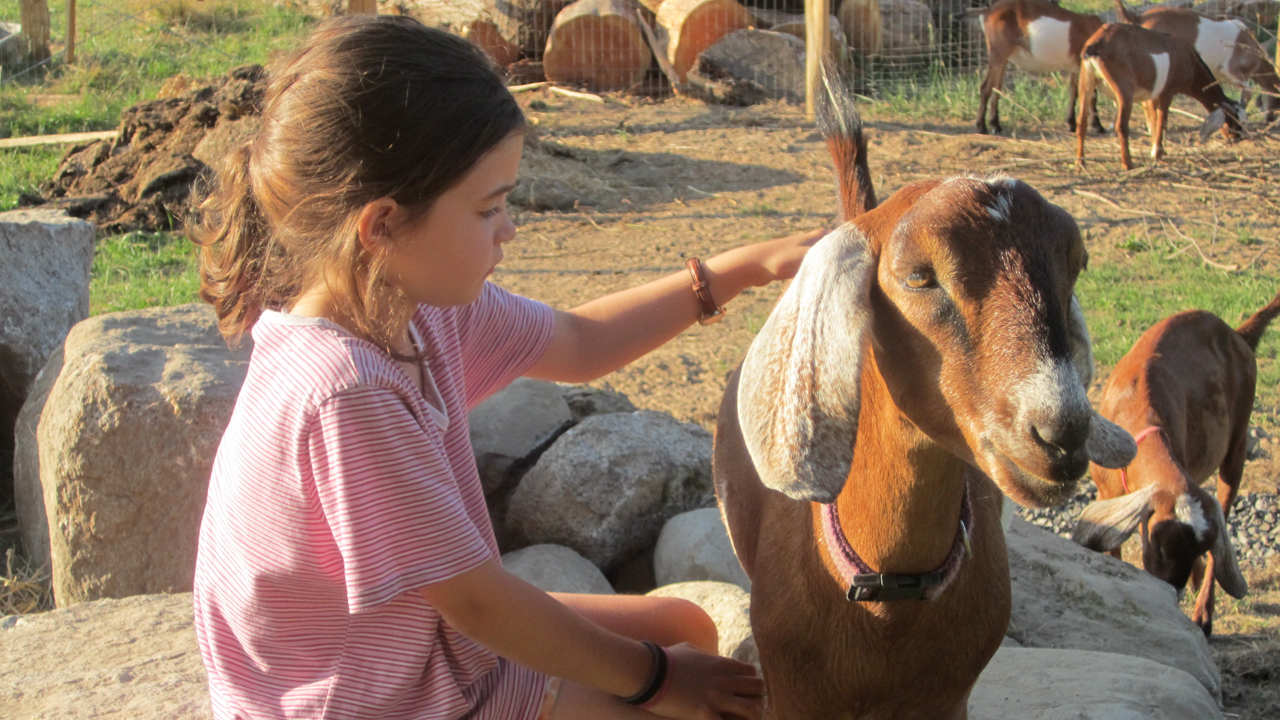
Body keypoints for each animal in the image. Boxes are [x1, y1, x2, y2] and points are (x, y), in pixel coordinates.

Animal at [711, 73, 1141, 717]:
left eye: (1077, 264)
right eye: (918, 276)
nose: (1063, 433)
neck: (890, 603)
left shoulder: (948, 699)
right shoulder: (791, 695)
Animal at [977, 0, 1111, 134]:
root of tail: (988, 12)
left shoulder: (1075, 69)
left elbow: (1073, 92)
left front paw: (1071, 124)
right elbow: (1092, 95)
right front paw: (1098, 126)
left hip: (1003, 58)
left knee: (996, 87)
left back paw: (995, 125)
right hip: (998, 53)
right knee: (986, 87)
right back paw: (981, 126)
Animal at [1075, 22, 1244, 169]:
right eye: (1232, 120)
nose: (1237, 138)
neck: (1189, 58)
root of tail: (1096, 43)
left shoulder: (1153, 96)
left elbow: (1153, 121)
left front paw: (1156, 151)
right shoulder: (1167, 92)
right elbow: (1162, 122)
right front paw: (1158, 155)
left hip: (1086, 82)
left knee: (1081, 122)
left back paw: (1080, 163)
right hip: (1124, 91)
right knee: (1121, 125)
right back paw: (1128, 165)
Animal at [1075, 288, 1274, 635]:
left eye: (1200, 547)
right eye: (1159, 545)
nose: (1170, 592)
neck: (1137, 412)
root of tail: (1237, 334)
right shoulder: (1106, 492)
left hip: (1237, 443)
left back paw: (1203, 613)